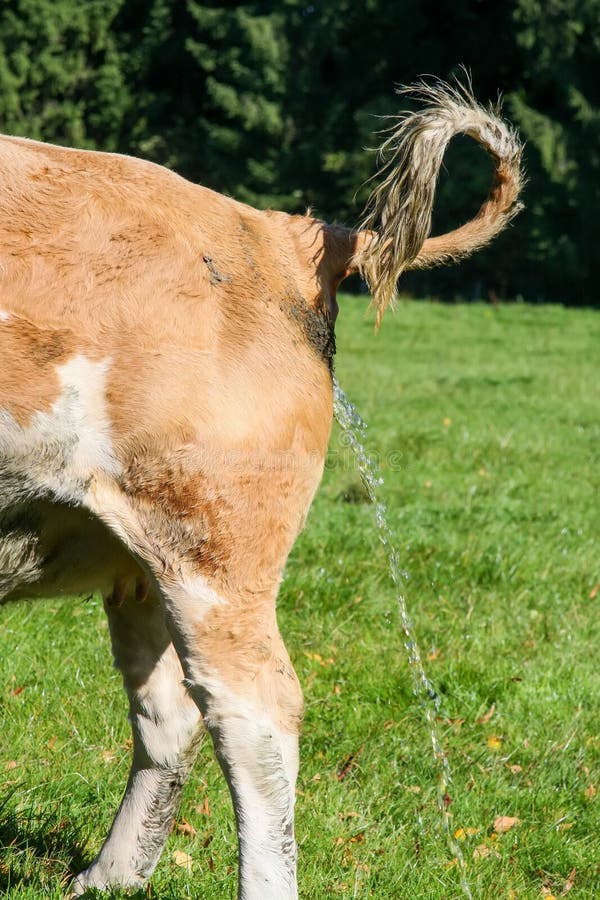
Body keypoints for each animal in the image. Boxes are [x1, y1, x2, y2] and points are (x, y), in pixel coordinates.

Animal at [0, 82, 522, 898]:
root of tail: (282, 234)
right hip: (147, 556)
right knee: (170, 712)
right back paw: (109, 878)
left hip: (213, 537)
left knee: (255, 716)